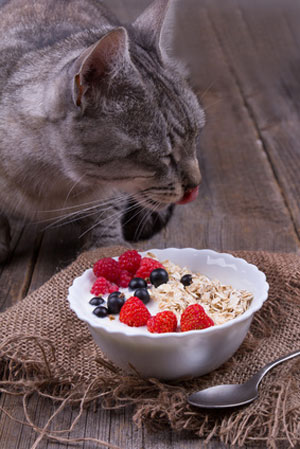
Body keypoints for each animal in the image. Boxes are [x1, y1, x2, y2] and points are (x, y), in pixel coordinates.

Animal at [0, 0, 204, 260]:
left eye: (195, 137)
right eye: (165, 156)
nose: (195, 186)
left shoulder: (110, 193)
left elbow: (106, 212)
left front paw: (105, 245)